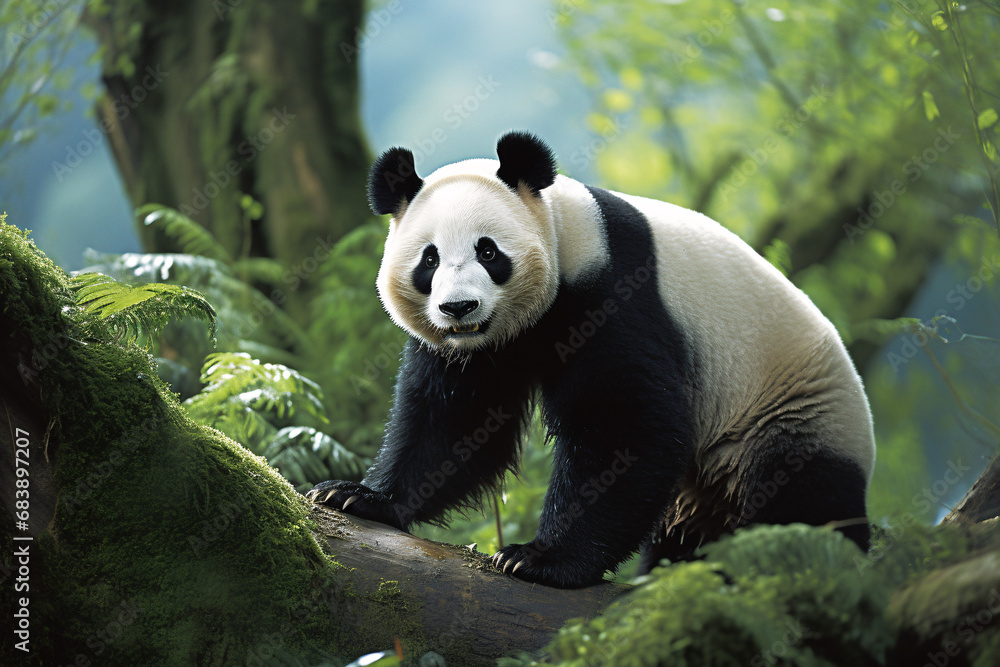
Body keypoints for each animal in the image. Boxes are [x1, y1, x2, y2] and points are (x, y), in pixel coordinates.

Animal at [308, 130, 876, 589]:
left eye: (488, 251)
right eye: (429, 260)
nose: (459, 308)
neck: (567, 232)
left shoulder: (614, 293)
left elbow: (623, 425)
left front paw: (541, 559)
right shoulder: (480, 350)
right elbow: (455, 422)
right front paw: (359, 497)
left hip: (787, 417)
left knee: (800, 512)